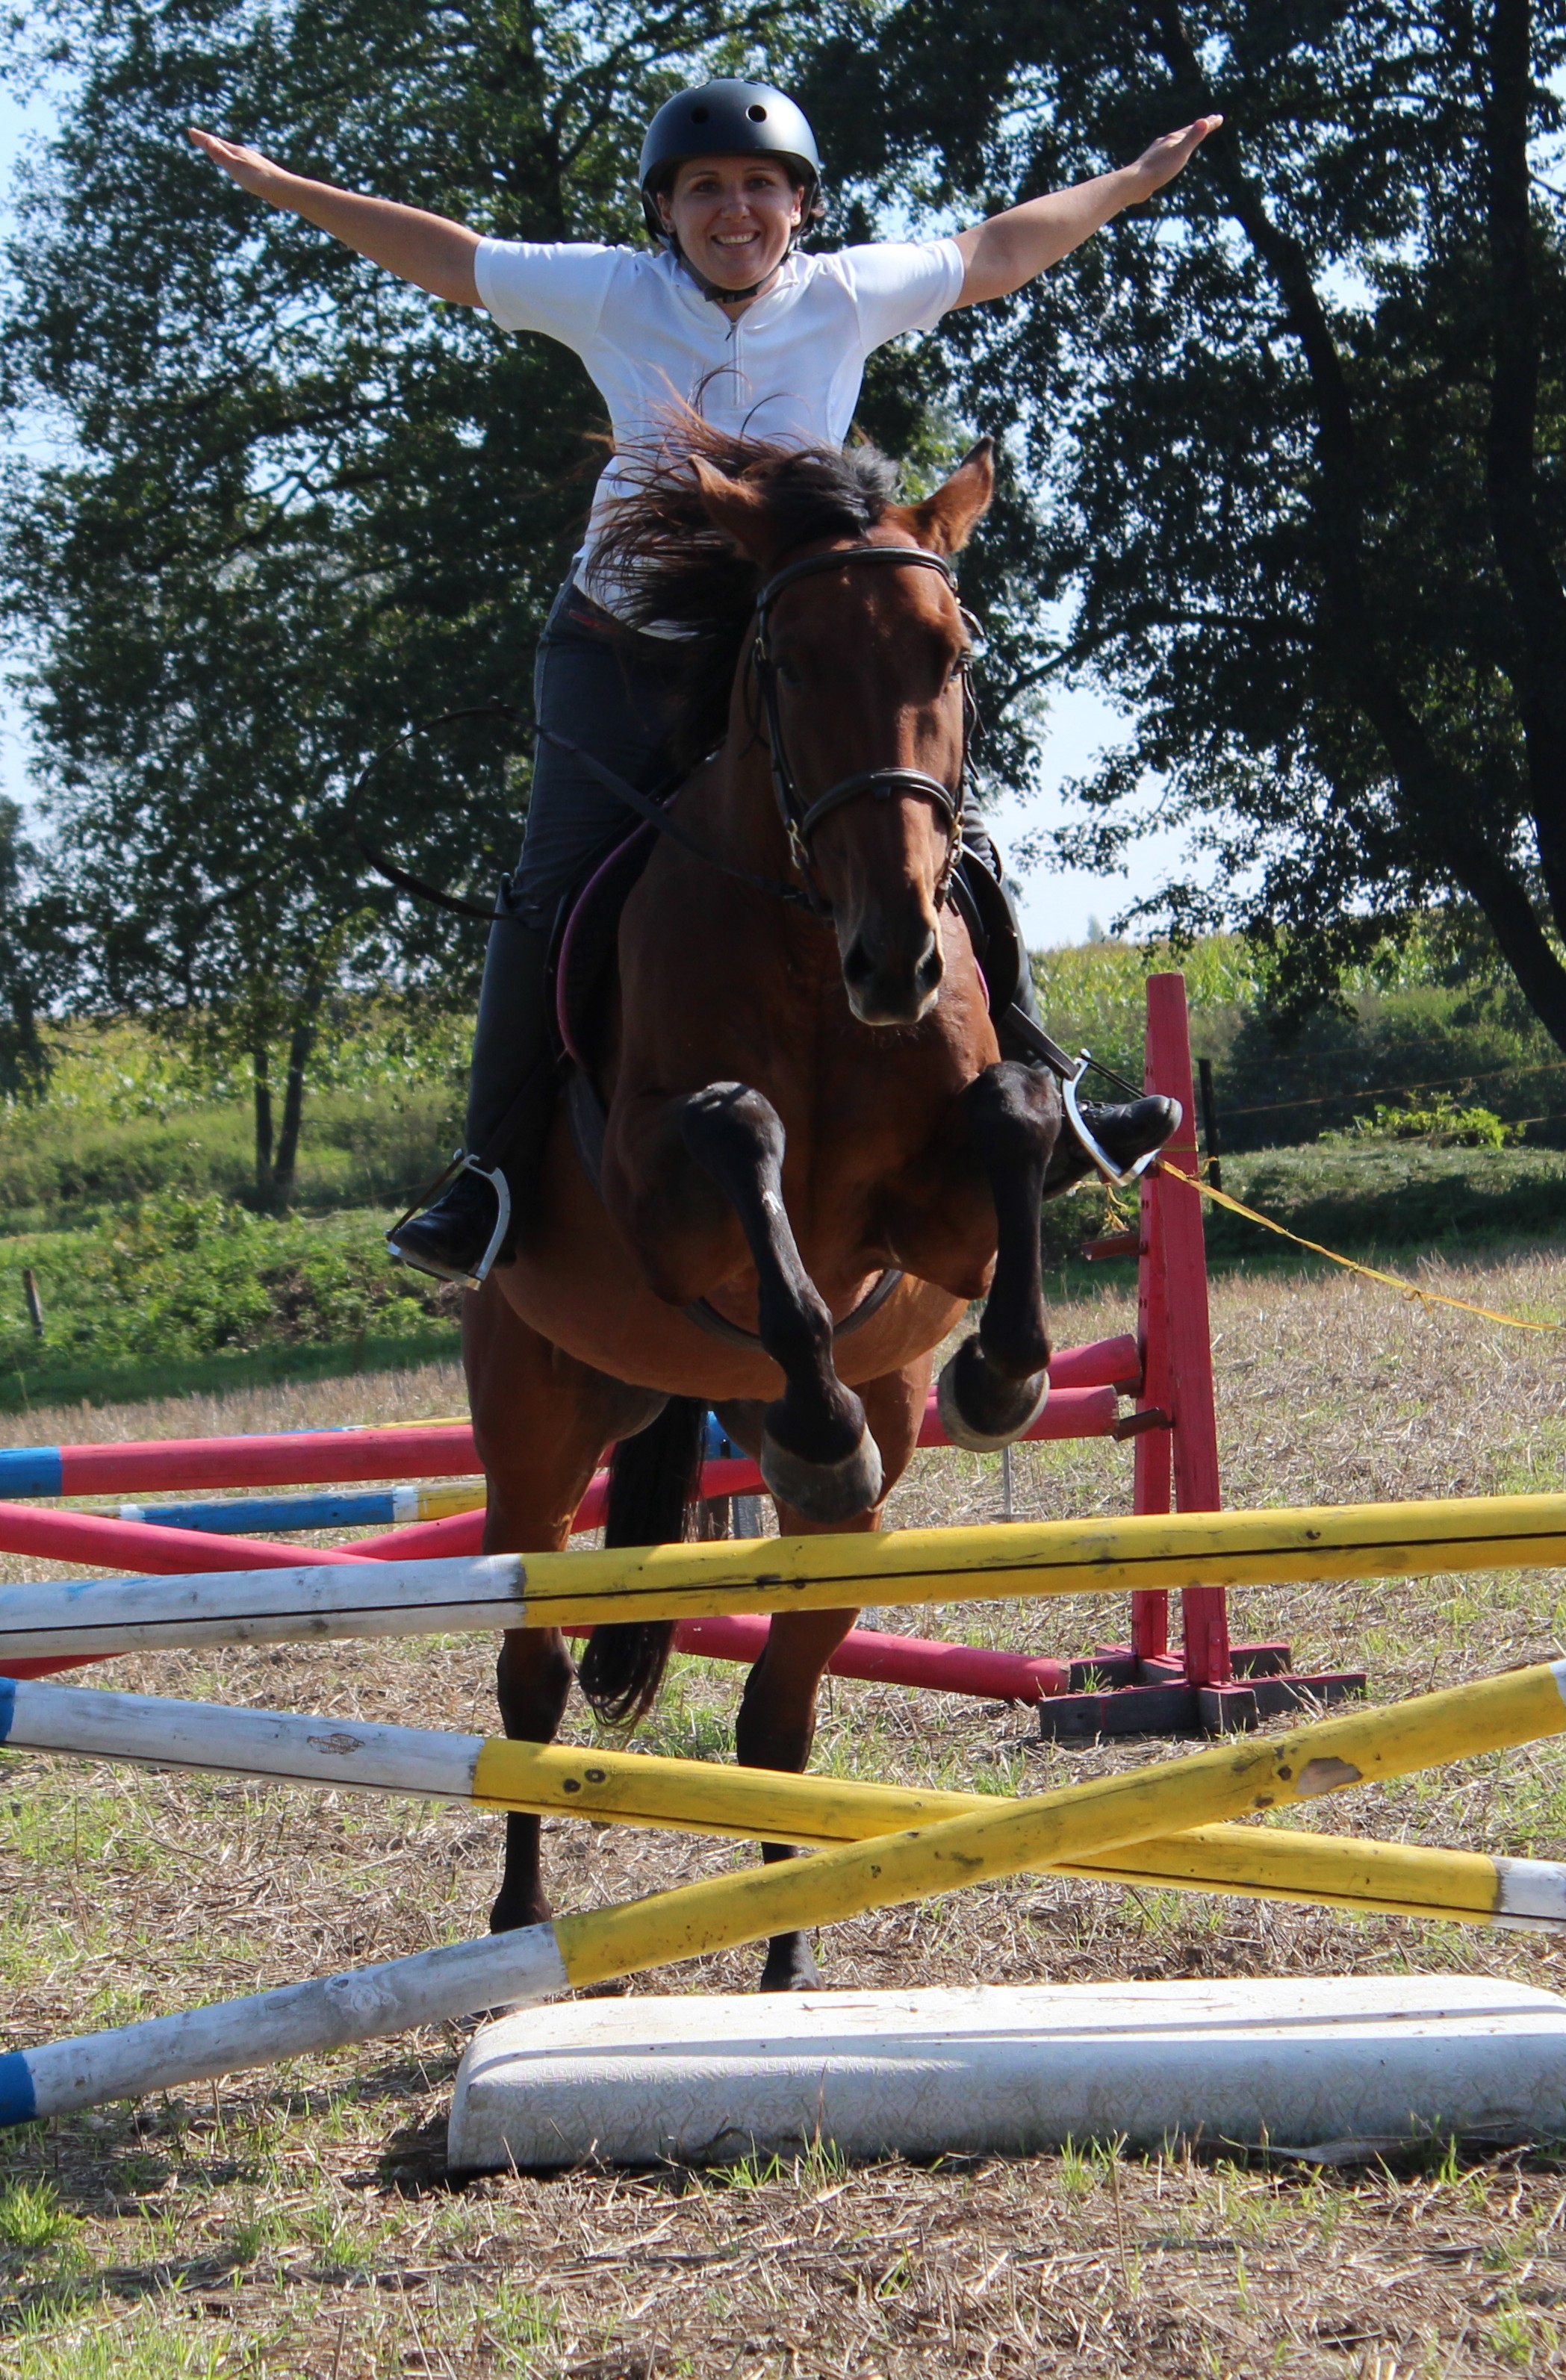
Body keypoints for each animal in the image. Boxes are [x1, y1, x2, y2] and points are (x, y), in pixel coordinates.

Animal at [464, 428, 1061, 1990]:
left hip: (826, 1523)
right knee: (531, 1685)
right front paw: (814, 1409)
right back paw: (516, 1924)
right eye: (785, 663)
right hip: (533, 1428)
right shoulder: (661, 1207)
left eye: (952, 654)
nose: (898, 952)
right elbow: (741, 1130)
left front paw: (1000, 1372)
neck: (807, 947)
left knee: (777, 1720)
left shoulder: (940, 1224)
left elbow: (1014, 1114)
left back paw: (788, 1965)